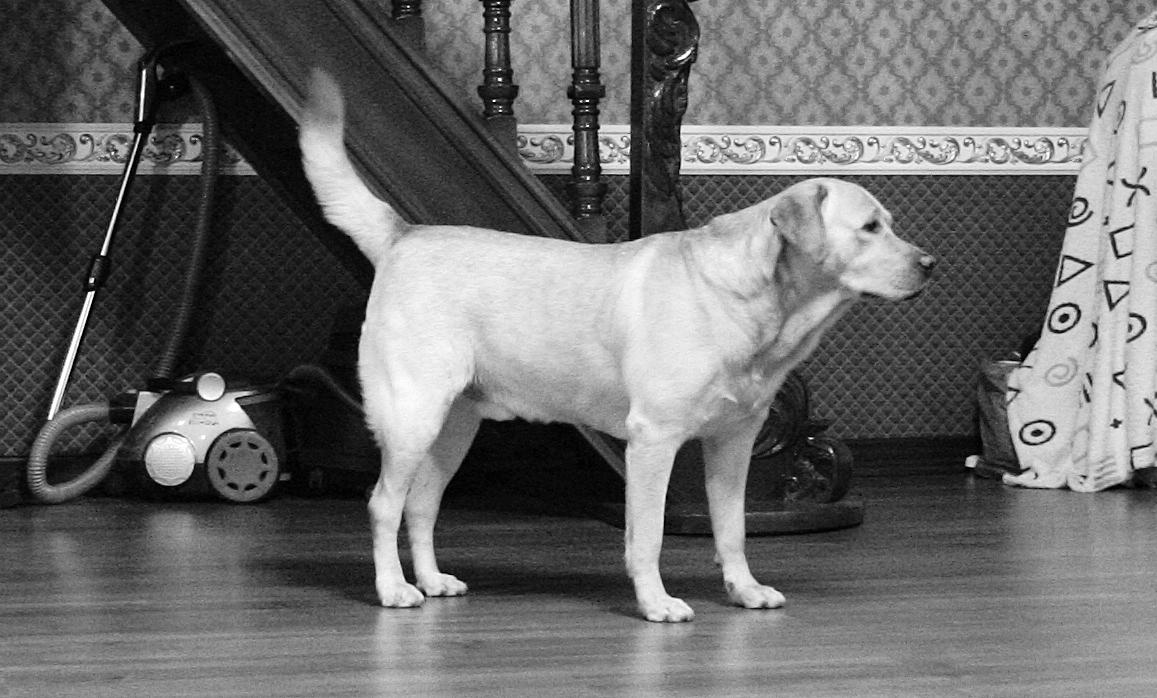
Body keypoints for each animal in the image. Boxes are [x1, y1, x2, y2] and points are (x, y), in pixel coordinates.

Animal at [299, 70, 934, 622]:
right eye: (870, 229)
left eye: (890, 223)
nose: (930, 264)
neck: (760, 305)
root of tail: (404, 234)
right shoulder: (653, 441)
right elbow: (647, 536)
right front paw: (656, 604)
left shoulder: (733, 442)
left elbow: (732, 529)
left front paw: (744, 589)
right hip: (413, 416)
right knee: (383, 504)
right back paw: (393, 589)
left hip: (454, 428)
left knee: (421, 505)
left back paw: (431, 580)